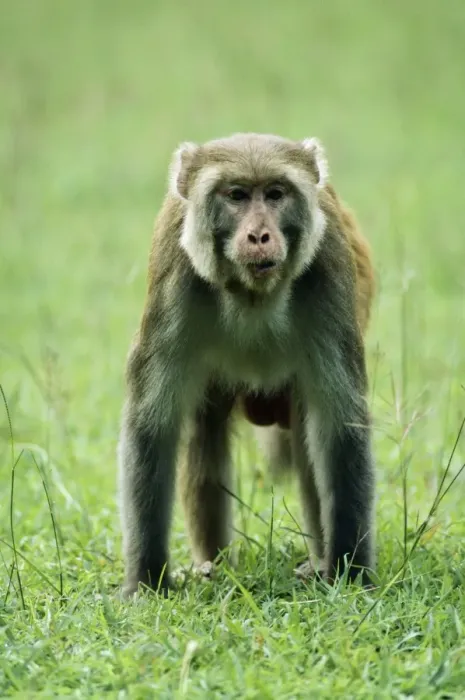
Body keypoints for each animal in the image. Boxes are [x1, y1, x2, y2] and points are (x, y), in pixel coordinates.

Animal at [117, 132, 376, 597]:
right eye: (236, 196)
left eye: (274, 194)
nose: (259, 235)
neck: (252, 293)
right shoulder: (174, 277)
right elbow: (153, 426)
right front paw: (146, 581)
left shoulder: (328, 272)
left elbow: (339, 428)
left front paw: (351, 574)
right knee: (204, 435)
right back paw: (213, 565)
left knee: (307, 437)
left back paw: (317, 562)